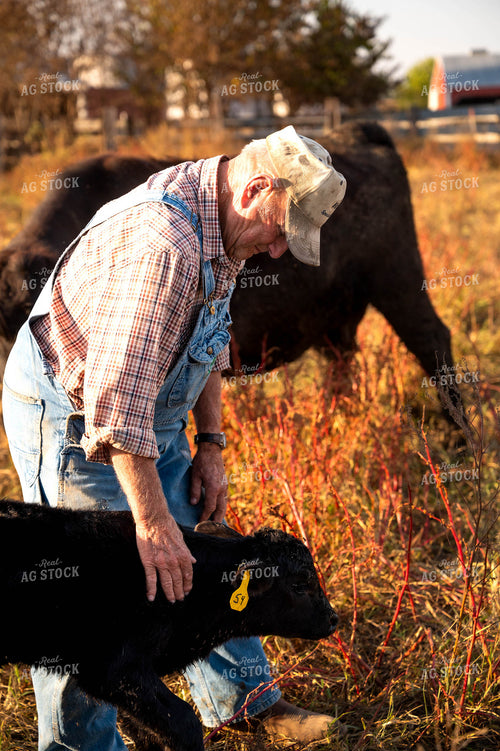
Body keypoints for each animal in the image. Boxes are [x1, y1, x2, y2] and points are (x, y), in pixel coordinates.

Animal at [0, 121, 462, 420]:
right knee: (342, 359)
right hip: (337, 316)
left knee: (432, 340)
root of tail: (358, 133)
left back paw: (459, 433)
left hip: (399, 281)